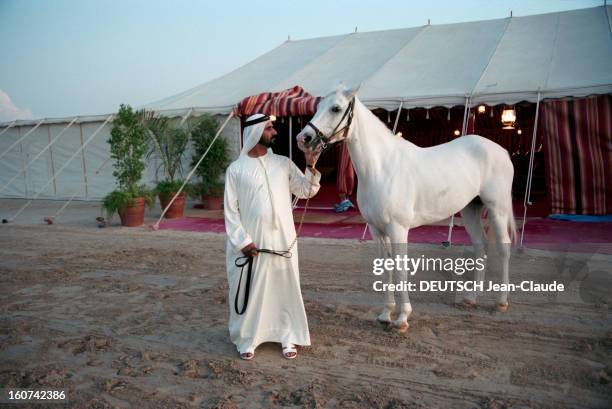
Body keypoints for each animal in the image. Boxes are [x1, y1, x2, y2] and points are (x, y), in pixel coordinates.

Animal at [296, 86, 516, 332]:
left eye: (336, 108)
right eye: (317, 107)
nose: (303, 138)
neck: (381, 167)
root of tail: (501, 151)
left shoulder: (398, 229)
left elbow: (400, 268)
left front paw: (402, 318)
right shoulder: (377, 230)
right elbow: (385, 268)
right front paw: (385, 314)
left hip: (497, 208)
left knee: (504, 248)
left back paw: (501, 302)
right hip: (470, 209)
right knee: (480, 246)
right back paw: (471, 298)